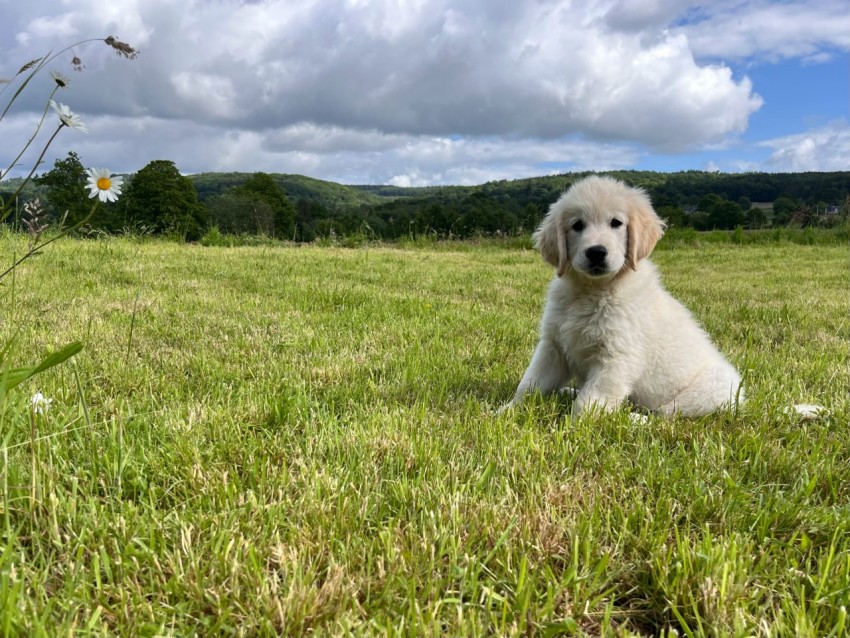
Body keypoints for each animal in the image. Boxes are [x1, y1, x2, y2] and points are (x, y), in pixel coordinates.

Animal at [504, 176, 744, 420]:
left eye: (616, 222)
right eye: (577, 225)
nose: (596, 252)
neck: (593, 290)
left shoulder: (617, 357)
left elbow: (588, 402)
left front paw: (571, 426)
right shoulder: (554, 346)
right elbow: (529, 384)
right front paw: (506, 412)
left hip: (707, 394)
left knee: (662, 415)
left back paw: (631, 418)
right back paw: (567, 391)